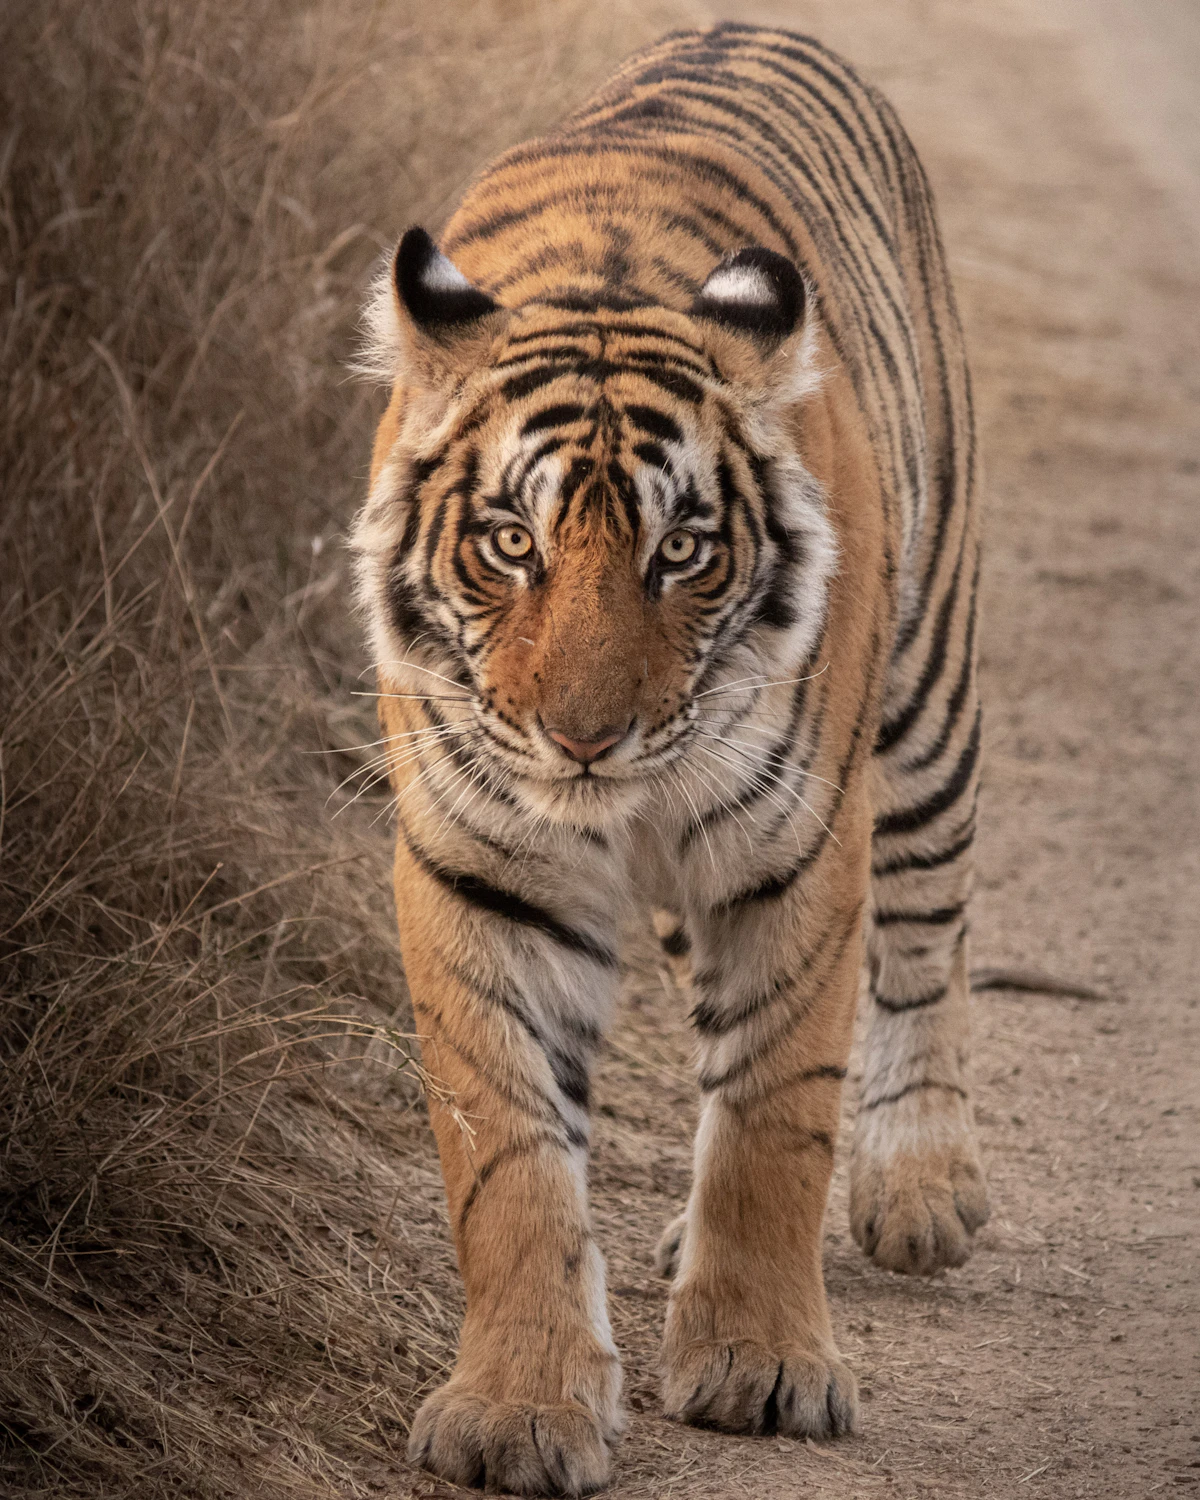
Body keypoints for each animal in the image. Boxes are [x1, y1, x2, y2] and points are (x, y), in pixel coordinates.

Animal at [352, 21, 989, 1496]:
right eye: (510, 543)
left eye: (684, 551)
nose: (585, 738)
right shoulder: (483, 868)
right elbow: (509, 1156)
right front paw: (518, 1410)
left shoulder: (796, 852)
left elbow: (773, 1115)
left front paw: (761, 1366)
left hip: (927, 695)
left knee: (927, 931)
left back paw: (921, 1183)